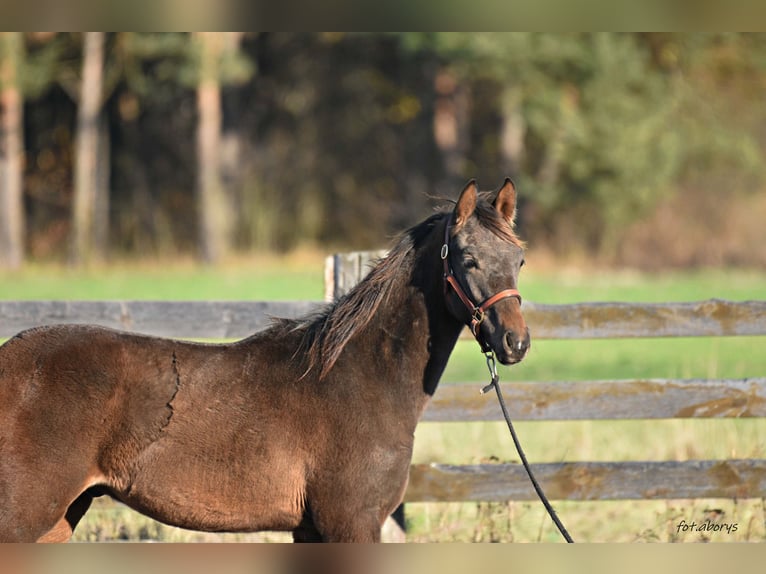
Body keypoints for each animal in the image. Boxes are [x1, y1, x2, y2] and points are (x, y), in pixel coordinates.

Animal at [0, 180, 528, 544]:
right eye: (466, 258)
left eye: (518, 260)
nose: (515, 342)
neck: (358, 379)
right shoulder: (349, 522)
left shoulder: (312, 528)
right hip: (23, 516)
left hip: (59, 517)